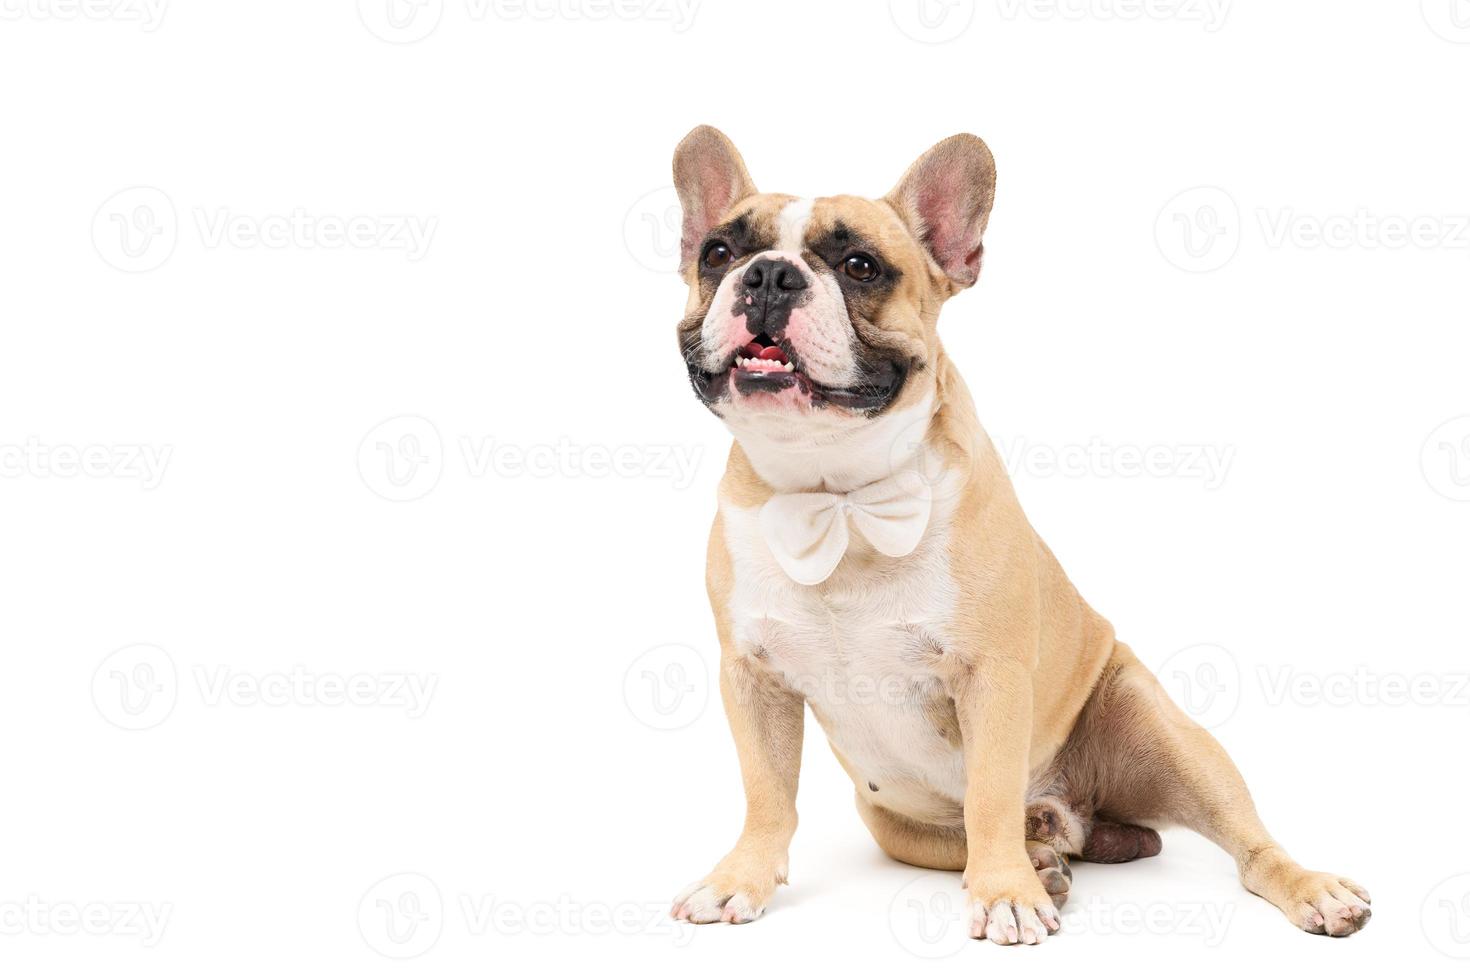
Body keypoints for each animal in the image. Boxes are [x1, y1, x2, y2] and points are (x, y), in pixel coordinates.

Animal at [667, 126, 1364, 946]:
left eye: (861, 266)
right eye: (718, 253)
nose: (769, 275)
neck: (837, 493)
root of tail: (1081, 808)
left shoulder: (991, 676)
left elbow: (990, 792)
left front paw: (1004, 893)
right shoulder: (753, 678)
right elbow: (767, 793)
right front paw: (739, 878)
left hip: (1167, 737)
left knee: (1246, 846)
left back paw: (1305, 886)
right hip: (889, 820)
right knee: (979, 834)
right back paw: (1046, 857)